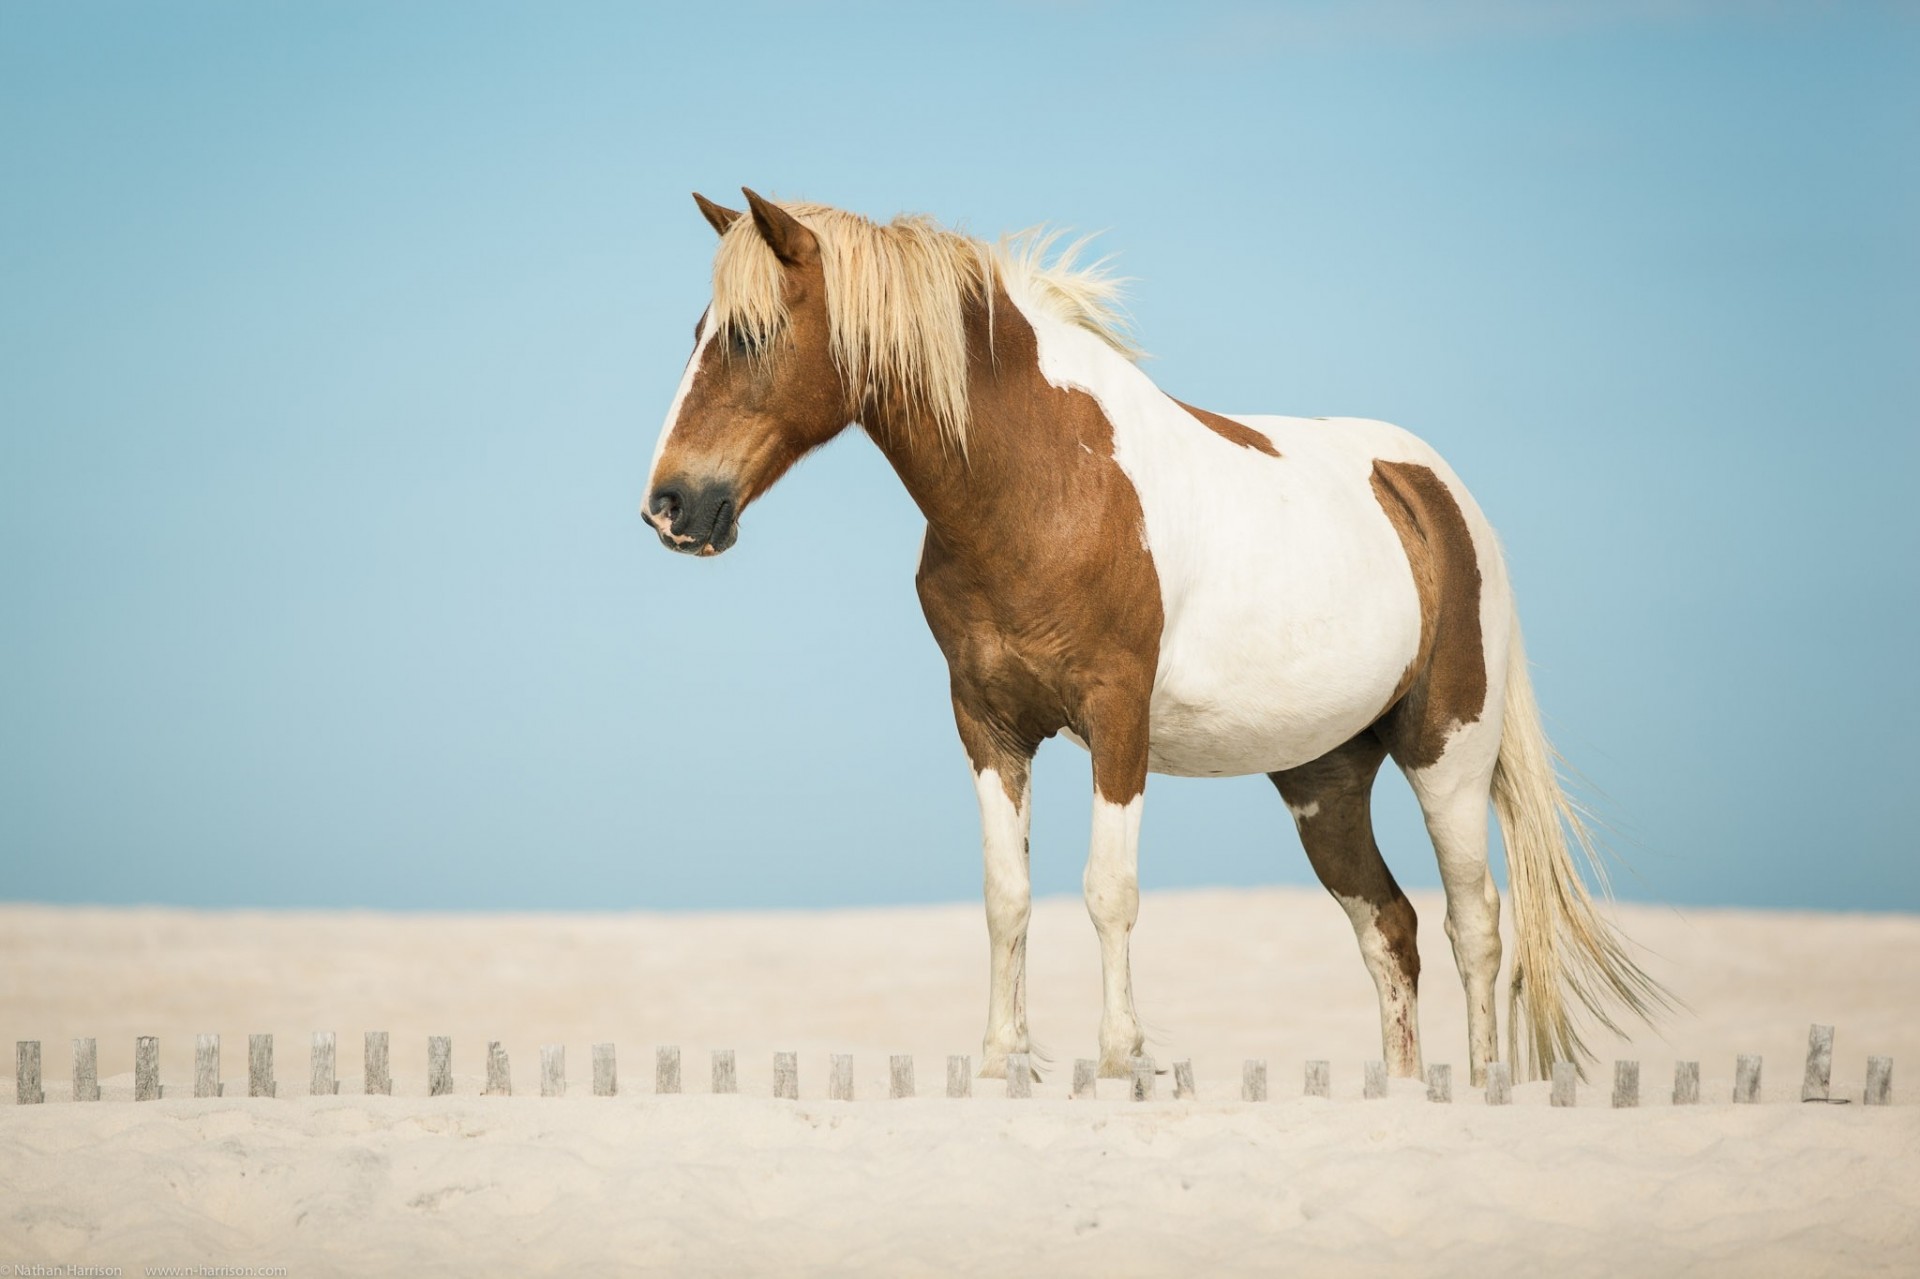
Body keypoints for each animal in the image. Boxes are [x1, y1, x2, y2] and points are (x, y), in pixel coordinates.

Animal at [643, 189, 1667, 1083]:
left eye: (749, 334)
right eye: (698, 332)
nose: (671, 505)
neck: (1044, 482)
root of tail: (1435, 491)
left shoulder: (1117, 717)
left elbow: (1109, 891)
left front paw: (1120, 1061)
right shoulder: (986, 723)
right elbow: (1006, 896)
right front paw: (1000, 1062)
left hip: (1448, 750)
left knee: (1475, 923)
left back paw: (1486, 1081)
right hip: (1325, 780)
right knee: (1390, 930)